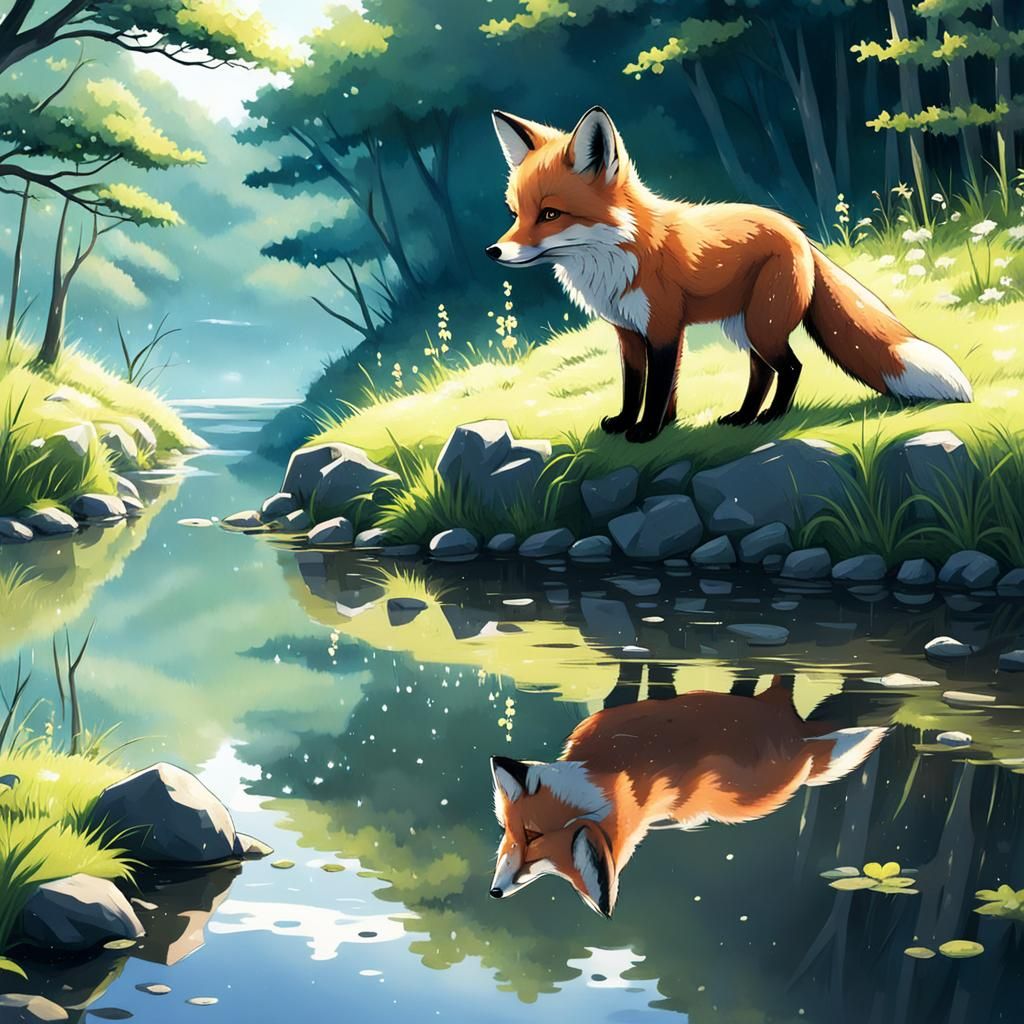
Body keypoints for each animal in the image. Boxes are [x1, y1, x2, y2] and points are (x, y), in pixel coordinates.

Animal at [486, 106, 972, 442]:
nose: (493, 251)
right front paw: (633, 422)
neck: (618, 255)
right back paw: (744, 417)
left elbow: (657, 387)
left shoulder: (664, 327)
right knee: (761, 372)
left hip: (762, 323)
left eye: (550, 214)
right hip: (744, 326)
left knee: (790, 367)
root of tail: (798, 232)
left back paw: (772, 417)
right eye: (514, 213)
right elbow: (635, 385)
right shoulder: (629, 334)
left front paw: (646, 432)